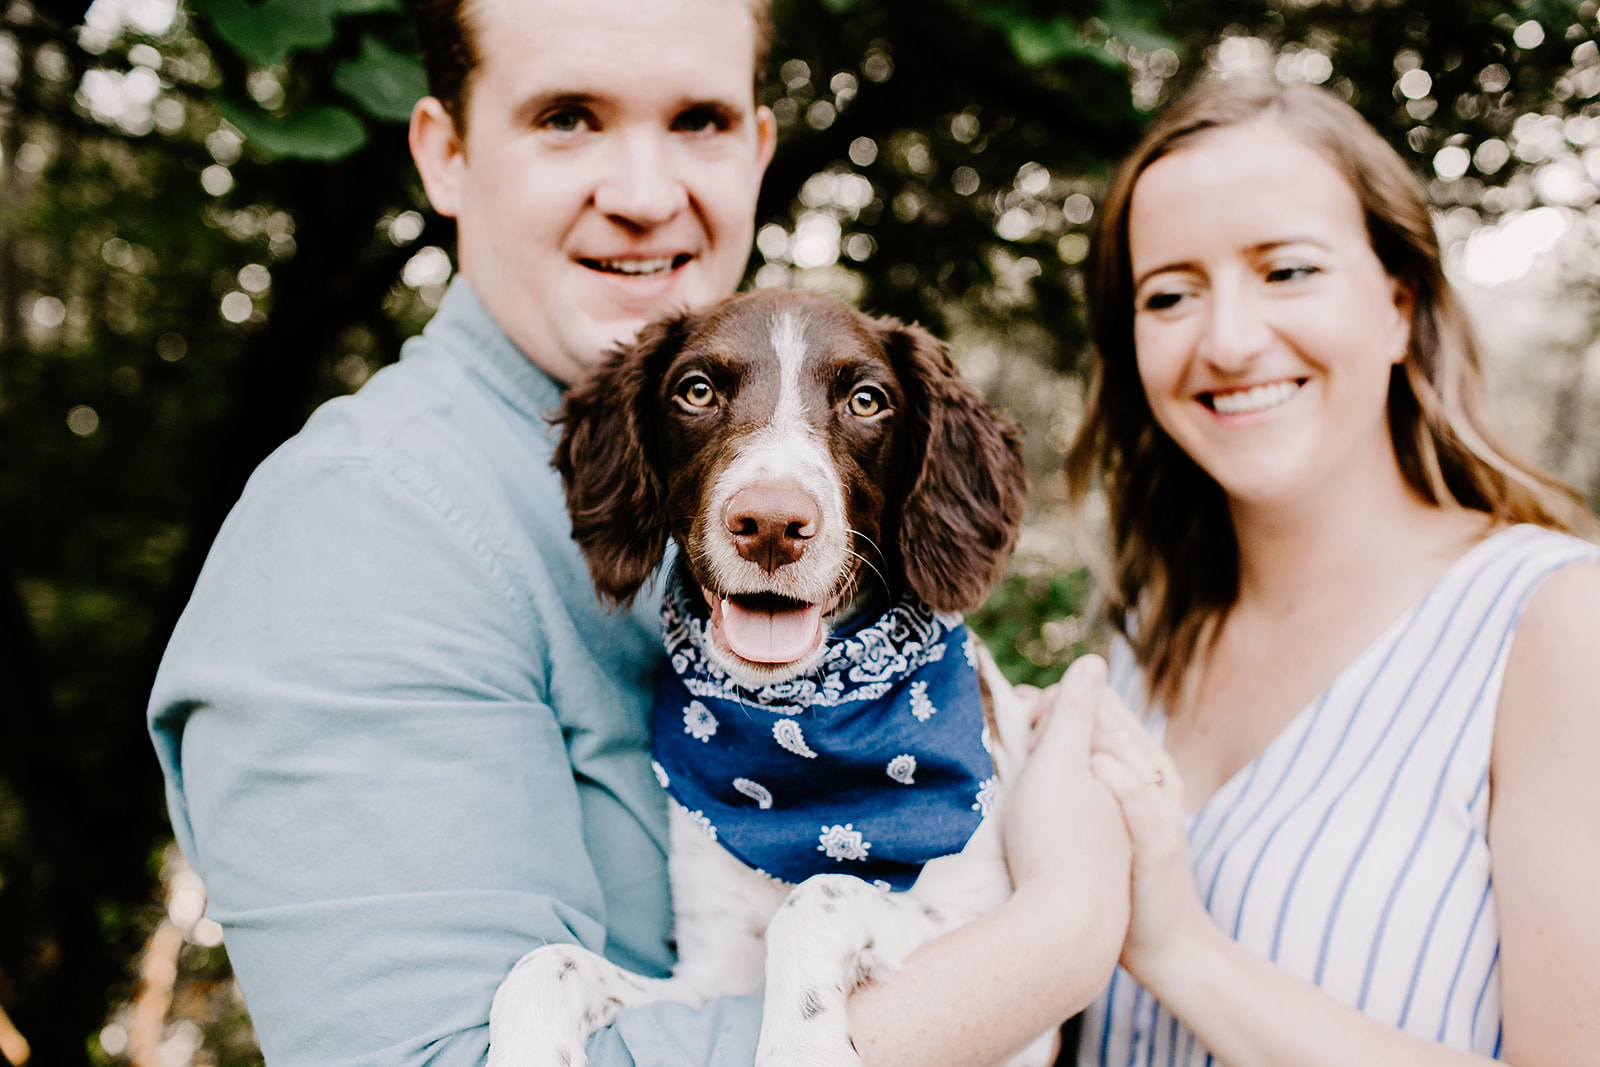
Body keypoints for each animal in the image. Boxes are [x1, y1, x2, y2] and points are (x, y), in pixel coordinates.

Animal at [483, 289, 1049, 1067]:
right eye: (696, 391)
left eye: (867, 400)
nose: (773, 524)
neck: (795, 732)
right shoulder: (709, 975)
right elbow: (549, 962)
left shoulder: (985, 920)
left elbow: (819, 894)